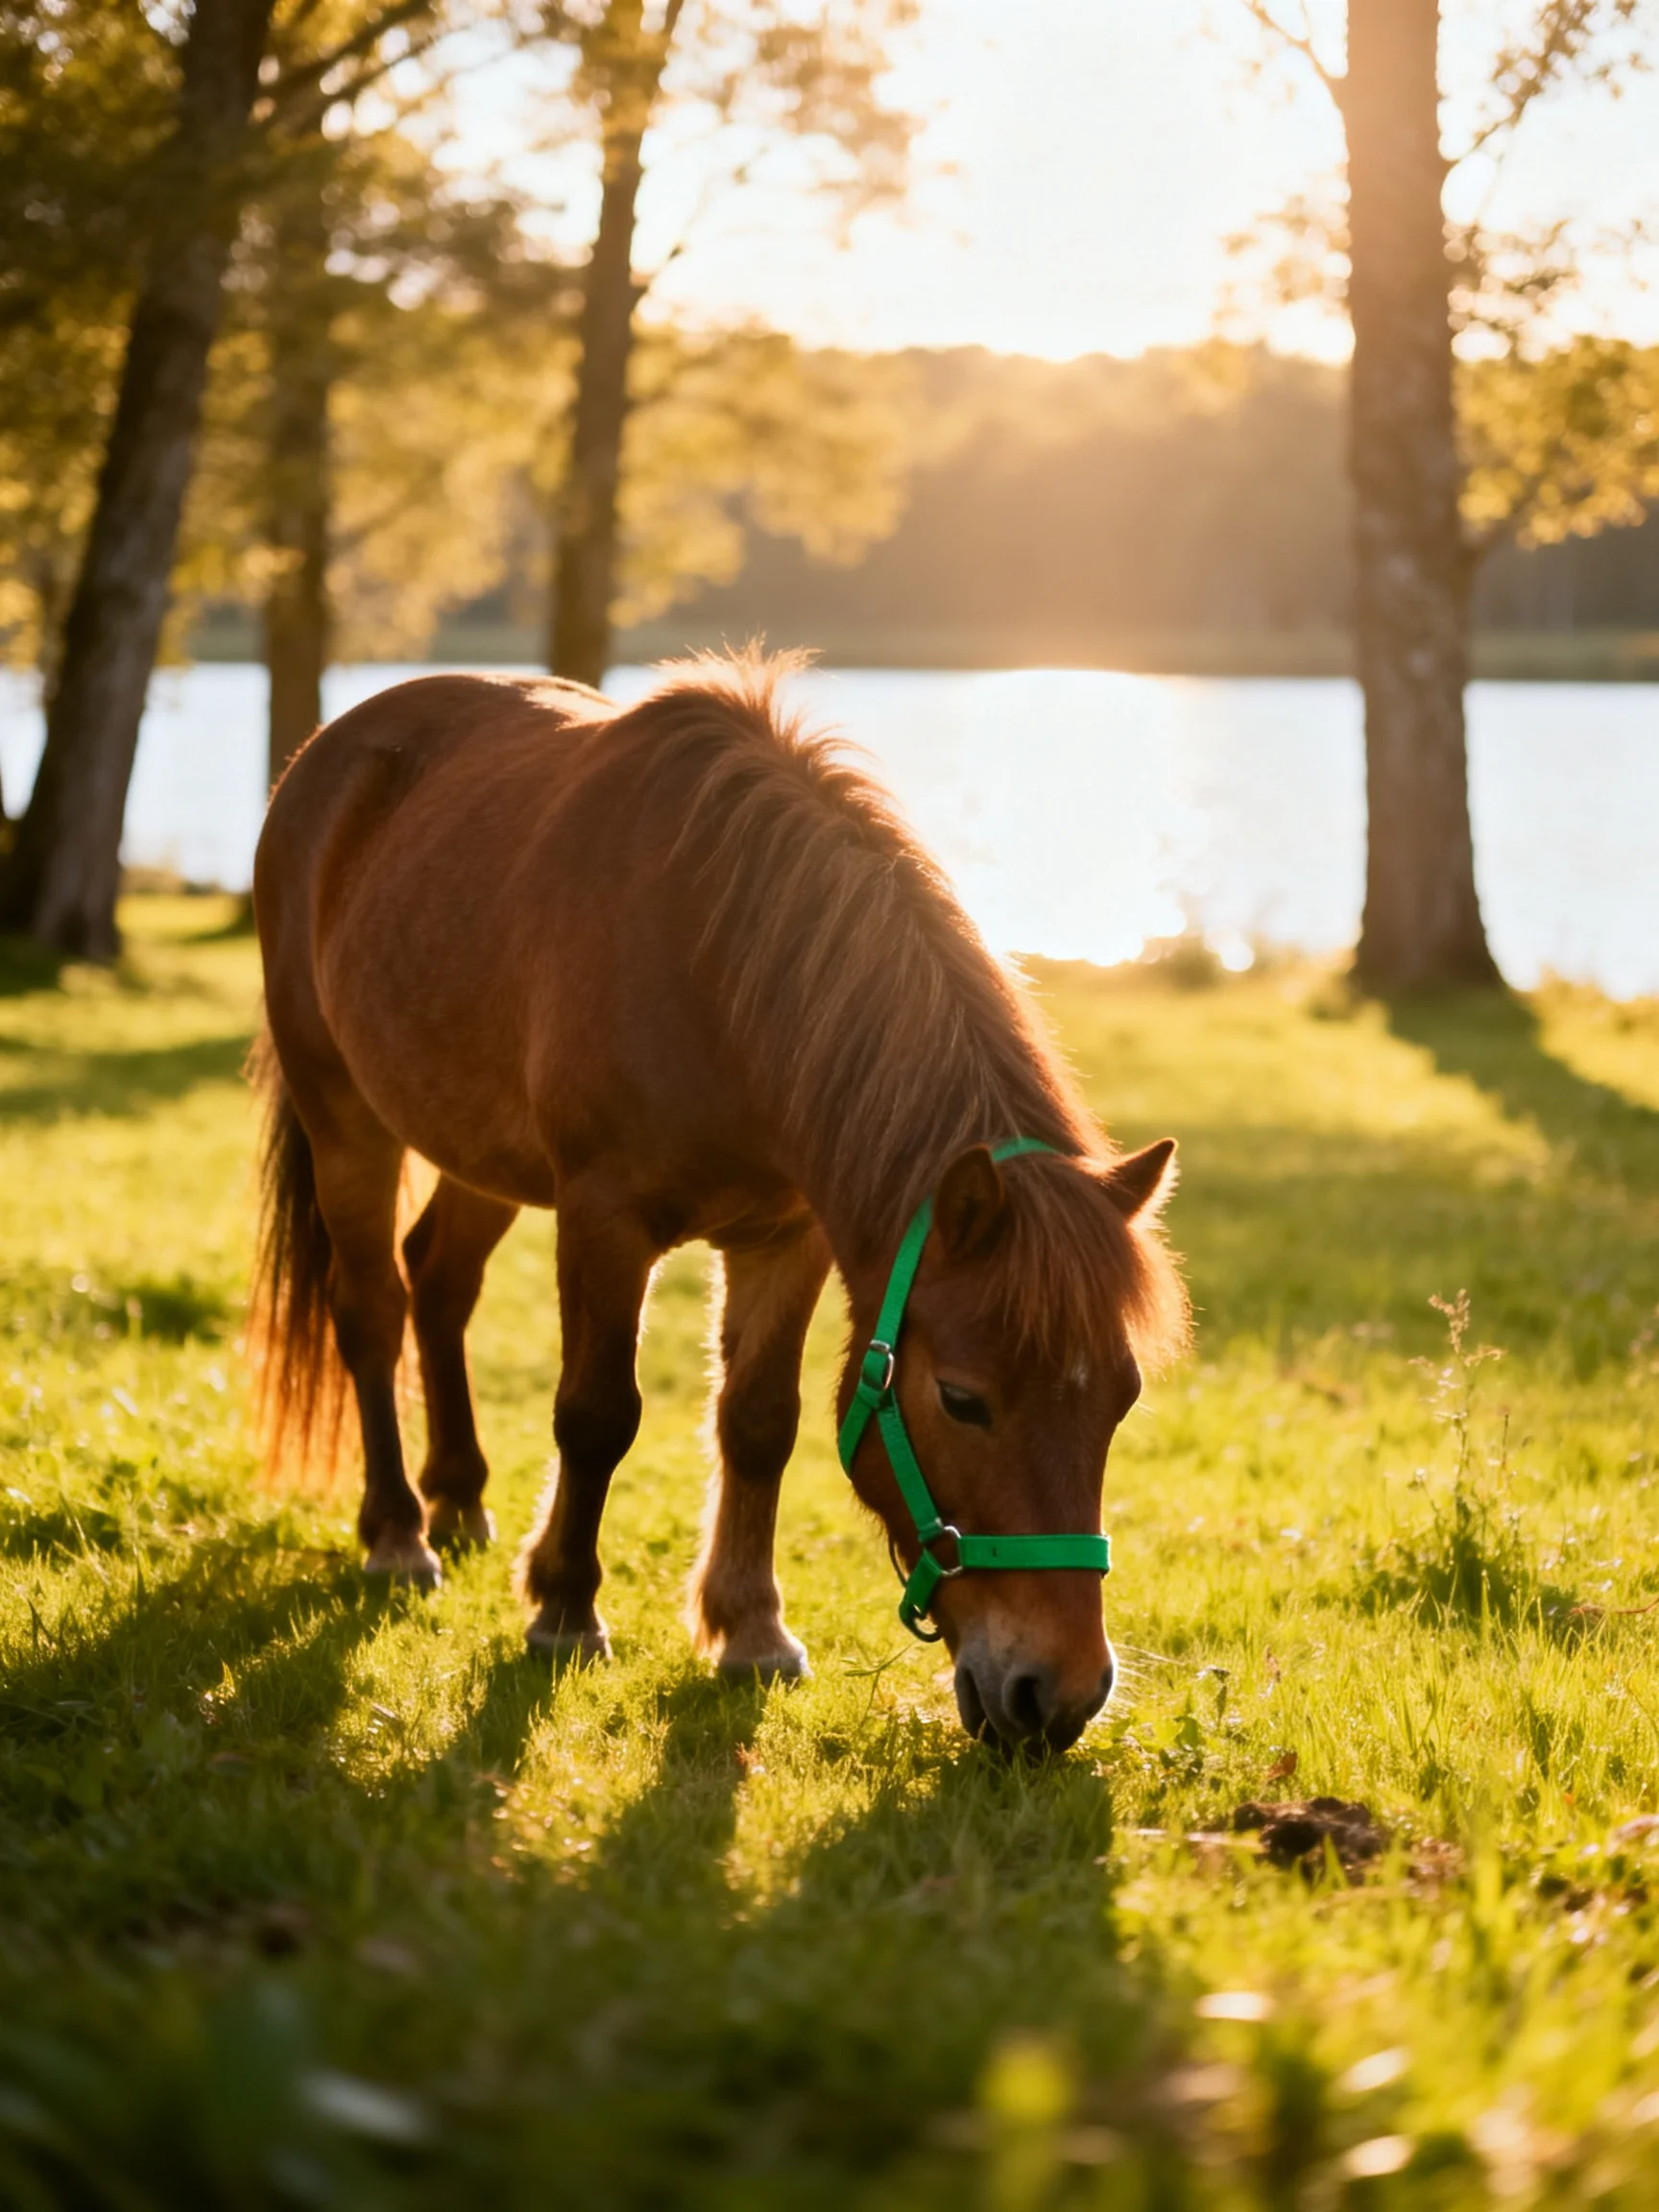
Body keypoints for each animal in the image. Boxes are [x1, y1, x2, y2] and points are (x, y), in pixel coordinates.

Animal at [249, 652, 1188, 1750]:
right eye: (963, 1399)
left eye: (1122, 1397)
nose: (1060, 1695)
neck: (719, 967)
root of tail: (323, 758)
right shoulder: (605, 1219)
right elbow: (597, 1414)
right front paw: (565, 1609)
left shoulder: (787, 1237)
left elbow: (759, 1422)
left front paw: (749, 1629)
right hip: (345, 1117)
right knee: (372, 1310)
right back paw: (399, 1533)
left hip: (478, 1152)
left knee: (438, 1284)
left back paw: (460, 1498)